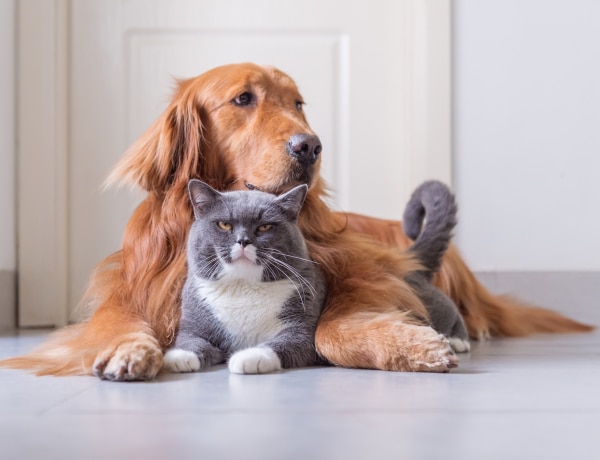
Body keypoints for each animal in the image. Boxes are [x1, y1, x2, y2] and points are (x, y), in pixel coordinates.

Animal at [162, 180, 326, 374]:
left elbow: (287, 341)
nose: (243, 240)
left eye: (264, 227)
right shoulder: (193, 324)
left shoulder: (302, 325)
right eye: (224, 225)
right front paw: (180, 356)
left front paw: (250, 356)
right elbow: (190, 339)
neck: (243, 285)